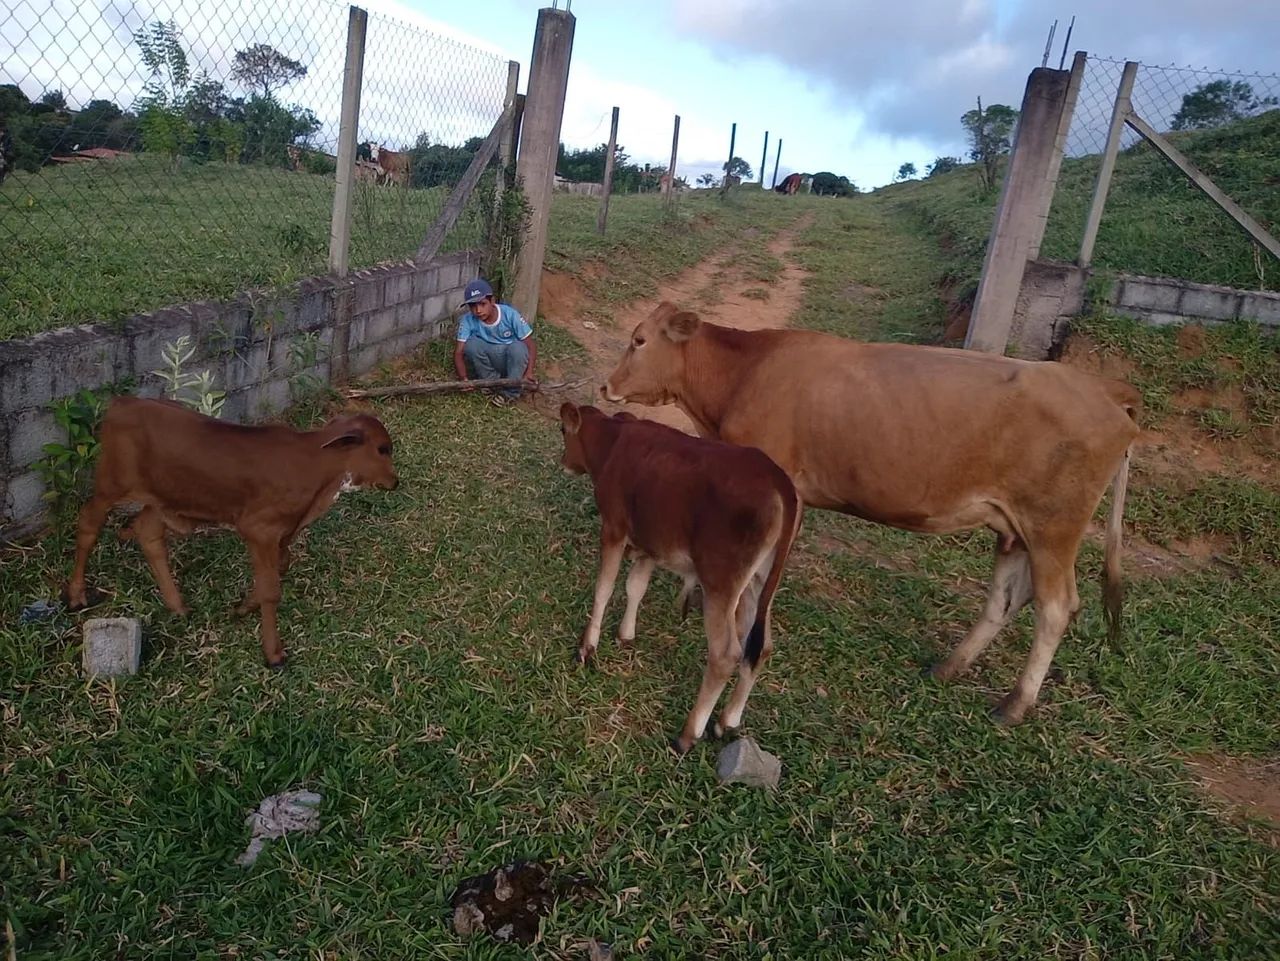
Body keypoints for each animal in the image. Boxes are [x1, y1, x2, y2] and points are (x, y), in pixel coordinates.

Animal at [65, 397, 399, 668]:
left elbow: (280, 567)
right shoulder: (259, 529)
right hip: (111, 485)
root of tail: (121, 403)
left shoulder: (281, 533)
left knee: (148, 534)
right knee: (88, 524)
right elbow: (272, 589)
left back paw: (178, 606)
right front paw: (273, 654)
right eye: (383, 449)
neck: (317, 471)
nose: (395, 482)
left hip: (162, 500)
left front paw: (243, 608)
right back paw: (76, 595)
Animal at [558, 403, 802, 753]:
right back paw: (727, 721)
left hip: (721, 583)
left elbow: (604, 588)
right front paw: (626, 635)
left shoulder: (614, 529)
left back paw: (688, 735)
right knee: (761, 647)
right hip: (758, 582)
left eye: (563, 430)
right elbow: (635, 587)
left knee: (726, 654)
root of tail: (778, 478)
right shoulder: (651, 544)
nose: (564, 462)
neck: (612, 442)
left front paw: (587, 648)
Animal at [602, 303, 1142, 725]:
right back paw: (950, 668)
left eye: (638, 340)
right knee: (1006, 599)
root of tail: (1105, 390)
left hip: (1053, 529)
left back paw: (1015, 704)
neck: (744, 374)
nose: (607, 386)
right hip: (1014, 529)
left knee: (1056, 608)